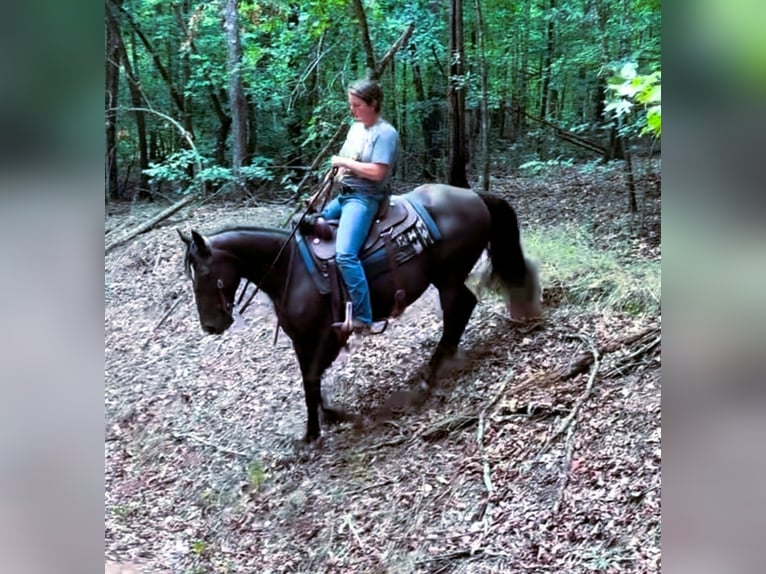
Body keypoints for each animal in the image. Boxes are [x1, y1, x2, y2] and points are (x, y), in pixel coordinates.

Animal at [178, 182, 544, 444]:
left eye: (206, 273)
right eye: (190, 275)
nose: (211, 326)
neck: (291, 269)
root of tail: (473, 194)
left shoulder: (324, 335)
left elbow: (311, 379)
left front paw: (312, 434)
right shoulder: (302, 340)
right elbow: (310, 379)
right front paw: (328, 416)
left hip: (448, 276)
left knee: (460, 308)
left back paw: (431, 373)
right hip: (447, 277)